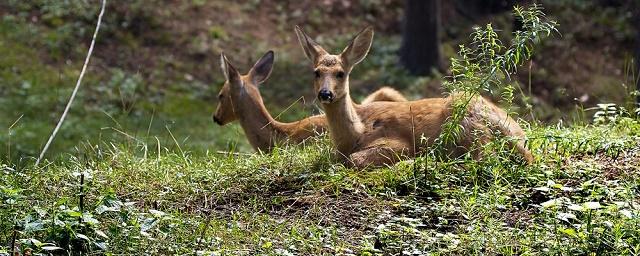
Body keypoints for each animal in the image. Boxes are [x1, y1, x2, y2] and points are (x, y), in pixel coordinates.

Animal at [296, 26, 536, 168]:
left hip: (464, 114)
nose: (325, 93)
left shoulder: (397, 143)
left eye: (341, 73)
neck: (355, 132)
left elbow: (356, 160)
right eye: (316, 72)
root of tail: (520, 136)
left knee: (486, 158)